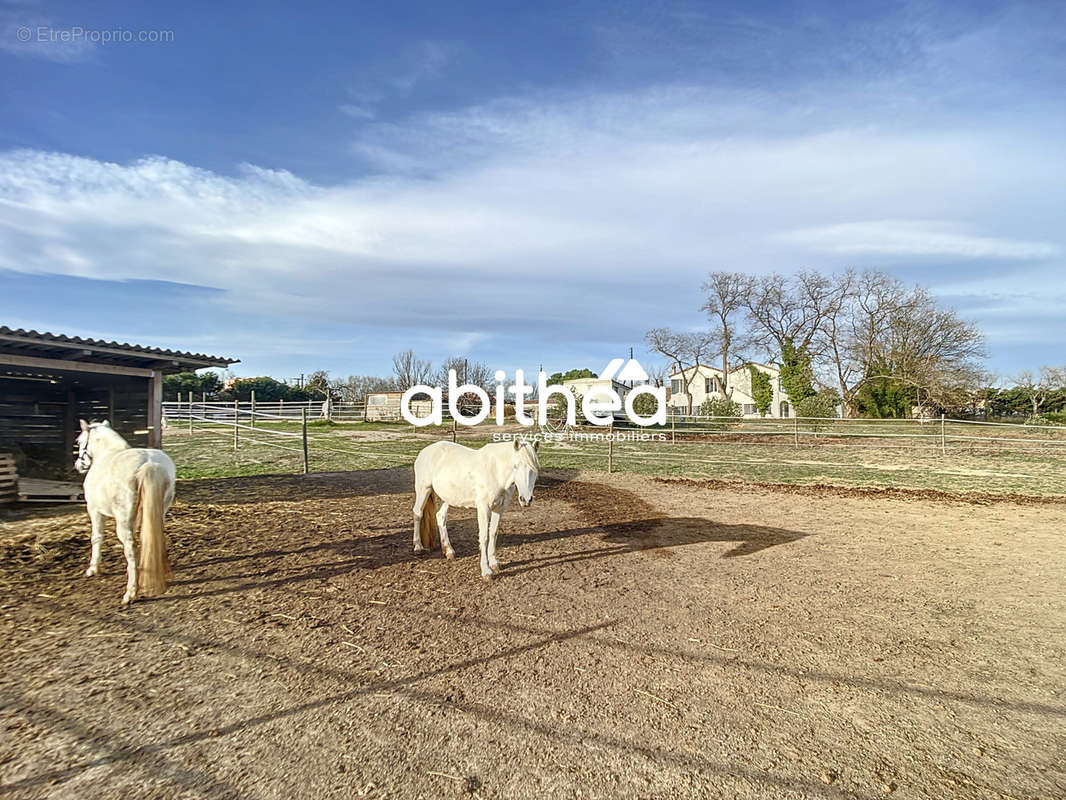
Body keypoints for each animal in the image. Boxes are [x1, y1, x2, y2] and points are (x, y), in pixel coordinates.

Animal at [75, 422, 175, 605]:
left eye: (79, 441)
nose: (79, 465)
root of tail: (148, 464)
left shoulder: (94, 510)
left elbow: (96, 538)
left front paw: (93, 568)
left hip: (122, 519)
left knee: (130, 547)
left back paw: (131, 592)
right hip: (157, 511)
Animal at [411, 439, 537, 584]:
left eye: (534, 468)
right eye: (515, 466)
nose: (526, 499)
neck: (495, 471)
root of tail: (424, 451)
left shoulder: (499, 509)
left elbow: (493, 533)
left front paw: (494, 563)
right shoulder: (483, 508)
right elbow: (484, 537)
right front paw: (486, 571)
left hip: (446, 497)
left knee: (440, 517)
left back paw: (448, 550)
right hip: (423, 489)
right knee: (418, 513)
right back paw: (418, 546)